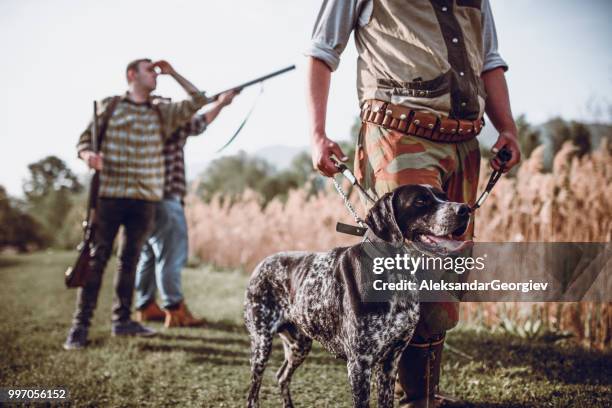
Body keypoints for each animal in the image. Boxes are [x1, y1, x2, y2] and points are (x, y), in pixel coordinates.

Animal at [243, 186, 468, 408]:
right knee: (253, 392)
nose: (465, 210)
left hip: (300, 345)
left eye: (444, 196)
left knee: (282, 376)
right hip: (262, 344)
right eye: (420, 201)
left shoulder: (390, 362)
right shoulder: (360, 364)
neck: (395, 274)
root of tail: (262, 264)